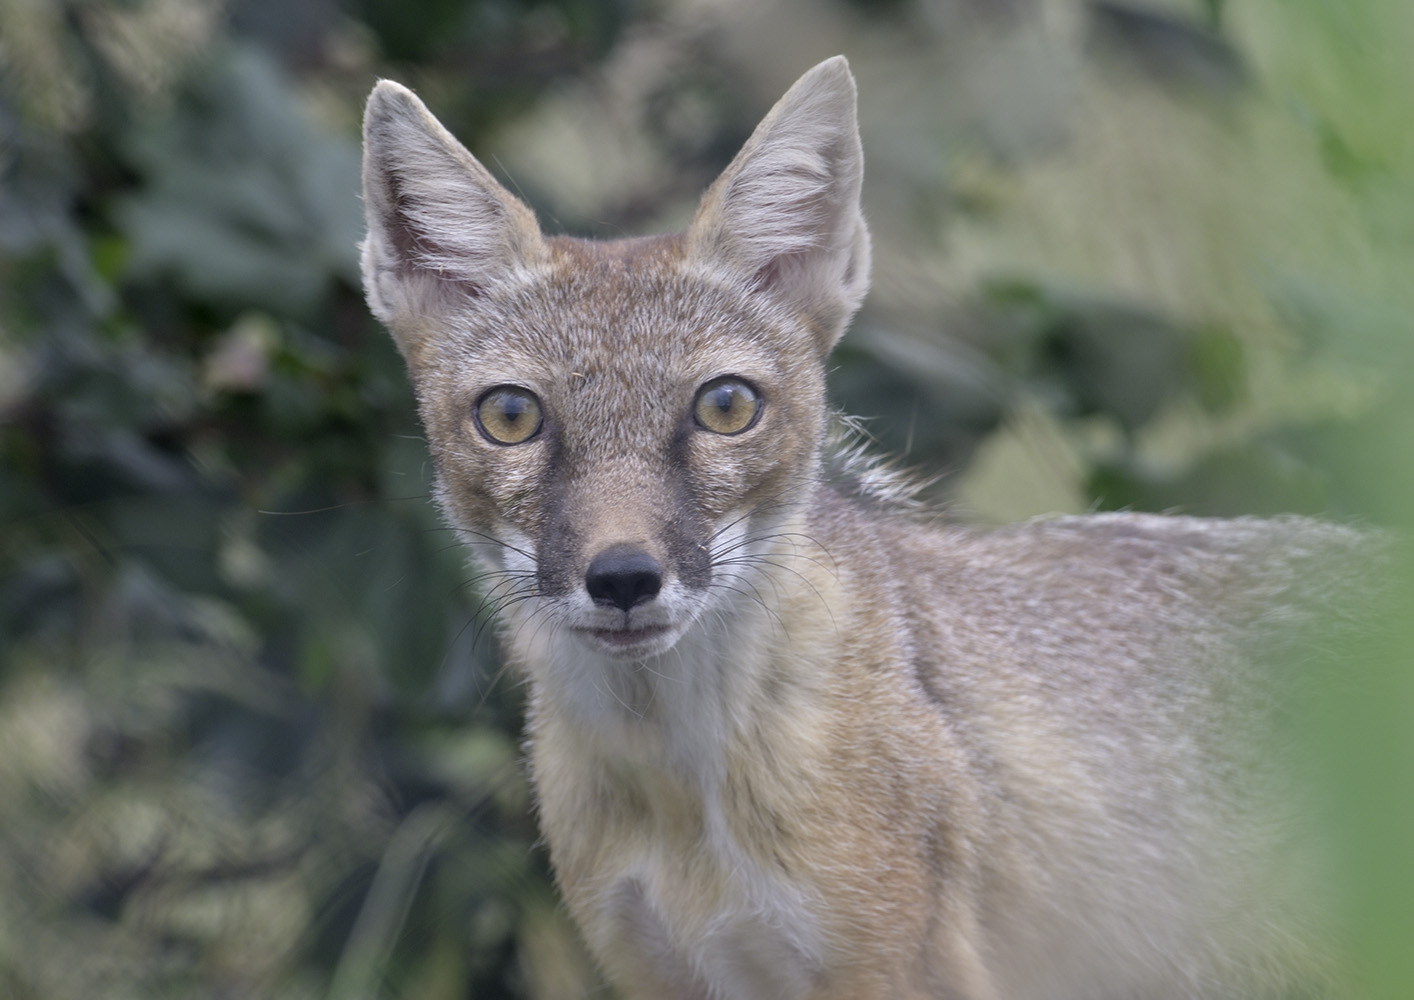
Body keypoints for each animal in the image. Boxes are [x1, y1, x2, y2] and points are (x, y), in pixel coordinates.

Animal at [360, 56, 1371, 1000]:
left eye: (725, 407)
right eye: (512, 418)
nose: (622, 577)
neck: (684, 796)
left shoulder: (888, 970)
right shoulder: (656, 970)